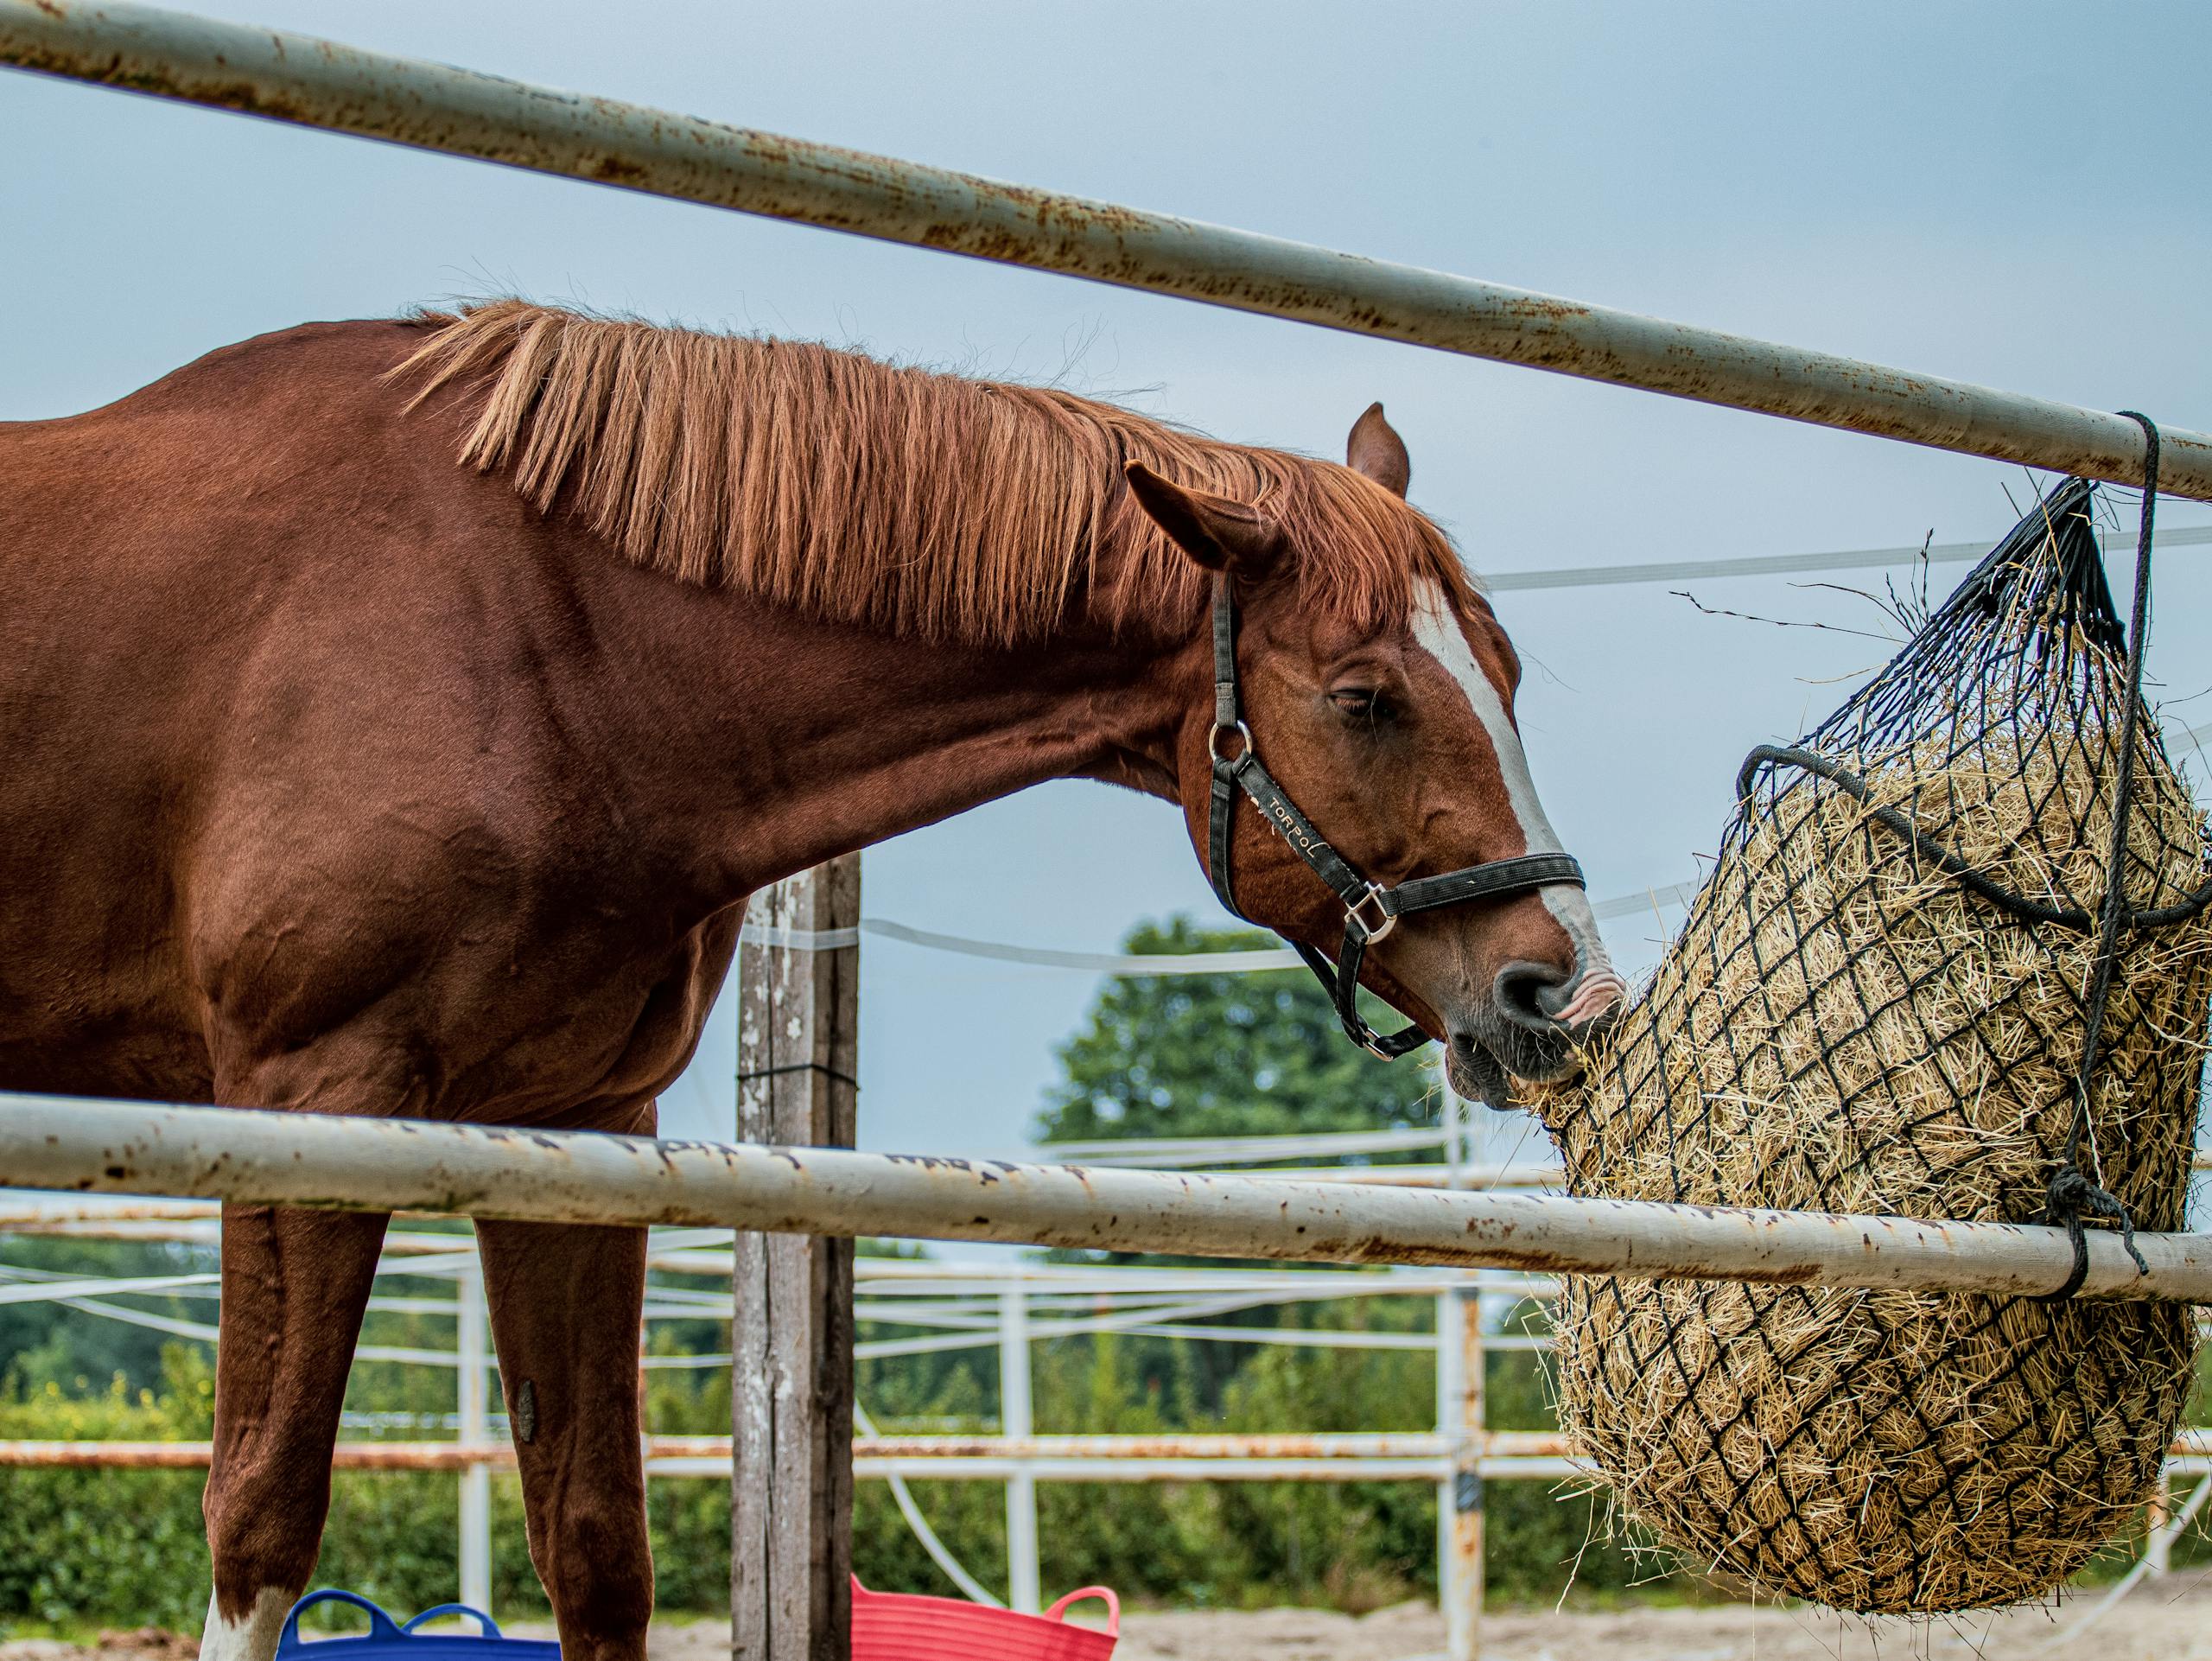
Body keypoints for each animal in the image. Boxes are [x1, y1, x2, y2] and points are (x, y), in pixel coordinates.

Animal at [0, 299, 1622, 1661]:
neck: (527, 636)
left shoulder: (574, 1130)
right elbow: (261, 1518)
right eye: (1365, 697)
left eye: (1507, 676)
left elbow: (595, 1543)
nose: (1563, 995)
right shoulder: (306, 1099)